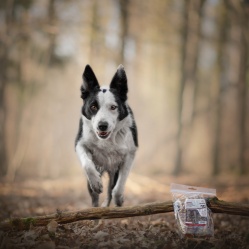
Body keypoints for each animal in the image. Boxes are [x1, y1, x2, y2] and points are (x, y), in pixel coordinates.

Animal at [75, 65, 138, 207]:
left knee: (111, 189)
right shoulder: (80, 143)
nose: (102, 126)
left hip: (113, 170)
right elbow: (87, 164)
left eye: (113, 107)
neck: (107, 139)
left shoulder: (130, 153)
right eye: (93, 106)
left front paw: (119, 199)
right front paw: (96, 183)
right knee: (95, 198)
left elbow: (119, 185)